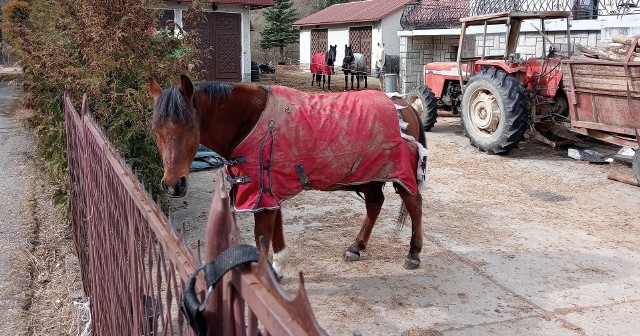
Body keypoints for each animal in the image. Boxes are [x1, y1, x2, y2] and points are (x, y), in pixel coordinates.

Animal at [149, 75, 428, 278]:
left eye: (190, 126)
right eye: (156, 130)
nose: (173, 185)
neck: (251, 122)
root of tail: (404, 105)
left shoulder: (262, 194)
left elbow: (262, 237)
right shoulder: (271, 192)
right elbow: (276, 232)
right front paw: (277, 268)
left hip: (399, 174)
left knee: (414, 205)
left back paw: (414, 254)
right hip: (368, 176)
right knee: (374, 205)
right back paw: (356, 247)